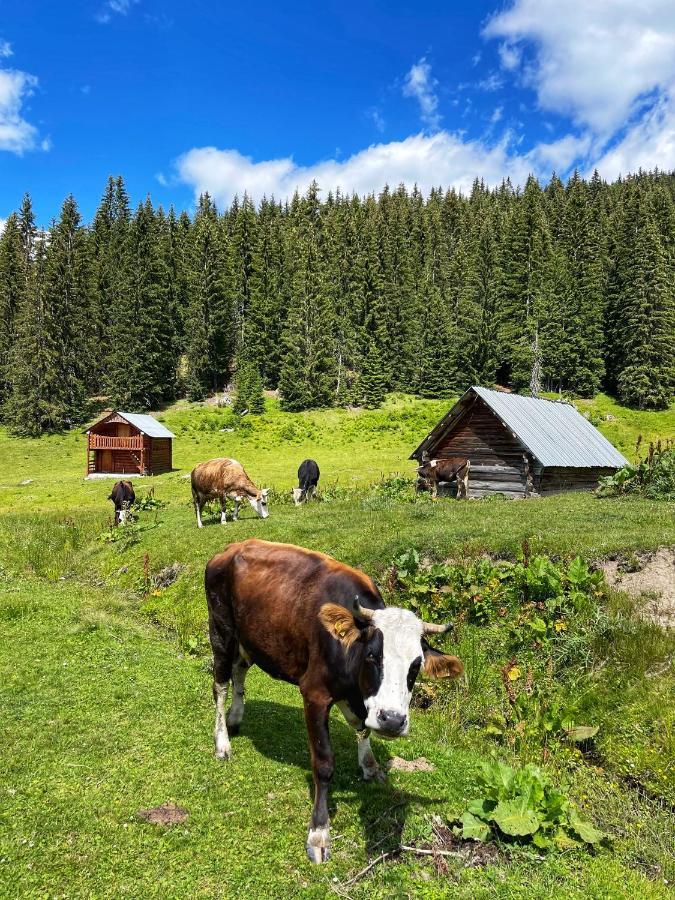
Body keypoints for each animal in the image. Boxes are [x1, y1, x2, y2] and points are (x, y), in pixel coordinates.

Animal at [203, 536, 462, 860]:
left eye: (416, 666)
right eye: (372, 656)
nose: (392, 720)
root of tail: (231, 548)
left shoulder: (354, 696)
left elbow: (361, 727)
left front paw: (370, 766)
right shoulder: (314, 693)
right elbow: (324, 763)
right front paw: (318, 832)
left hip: (249, 638)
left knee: (240, 672)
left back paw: (236, 718)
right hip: (221, 630)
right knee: (221, 685)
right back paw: (222, 742)